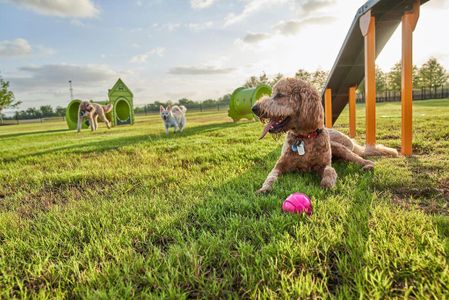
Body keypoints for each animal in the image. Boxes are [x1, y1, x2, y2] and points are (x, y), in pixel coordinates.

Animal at [250, 77, 398, 193]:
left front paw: (327, 183)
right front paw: (264, 188)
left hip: (342, 150)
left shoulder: (323, 165)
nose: (254, 108)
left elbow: (330, 171)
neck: (305, 138)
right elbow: (271, 176)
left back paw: (367, 166)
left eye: (280, 95)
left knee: (364, 160)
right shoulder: (280, 165)